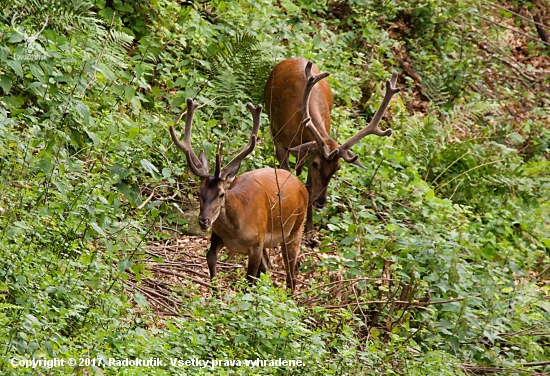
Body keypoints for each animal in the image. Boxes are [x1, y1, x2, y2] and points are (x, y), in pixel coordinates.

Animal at [170, 99, 308, 290]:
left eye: (221, 194)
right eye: (198, 192)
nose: (204, 221)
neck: (236, 232)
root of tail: (301, 185)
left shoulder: (256, 243)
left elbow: (250, 277)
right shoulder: (218, 236)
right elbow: (210, 258)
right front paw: (216, 292)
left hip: (295, 229)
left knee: (291, 272)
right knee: (268, 267)